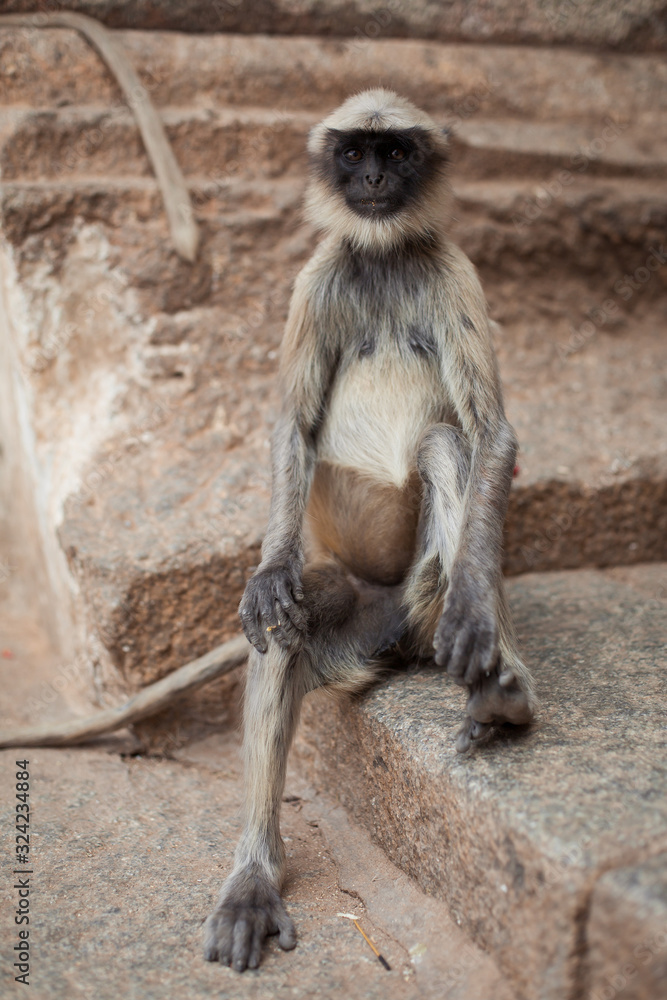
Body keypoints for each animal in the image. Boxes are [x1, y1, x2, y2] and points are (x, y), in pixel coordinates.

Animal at [204, 92, 536, 968]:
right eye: (354, 154)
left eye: (395, 151)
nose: (376, 179)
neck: (383, 260)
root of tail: (396, 627)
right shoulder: (318, 274)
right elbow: (291, 427)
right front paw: (265, 572)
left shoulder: (449, 267)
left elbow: (488, 435)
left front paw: (480, 624)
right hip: (356, 617)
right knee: (281, 633)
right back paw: (254, 877)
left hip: (417, 601)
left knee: (445, 444)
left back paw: (495, 684)